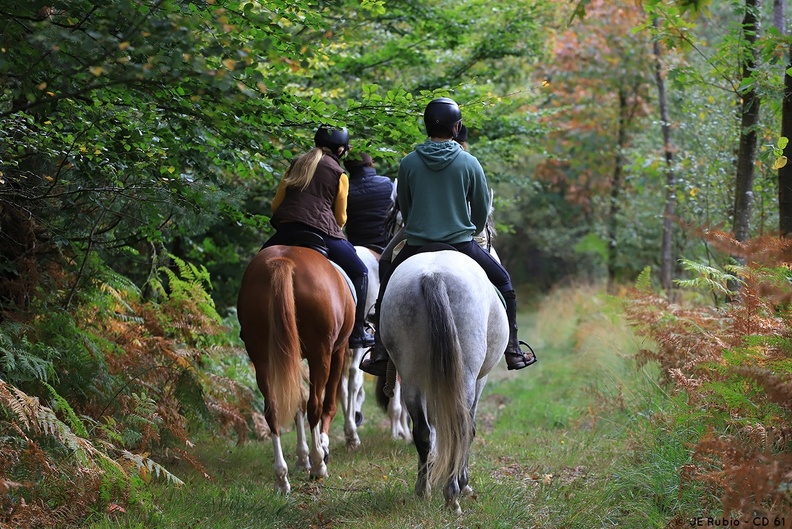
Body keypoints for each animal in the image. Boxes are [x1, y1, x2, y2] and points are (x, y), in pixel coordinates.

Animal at [235, 245, 352, 492]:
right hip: (321, 353)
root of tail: (284, 261)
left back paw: (281, 477)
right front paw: (320, 451)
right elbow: (327, 404)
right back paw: (318, 465)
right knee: (316, 405)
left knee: (273, 409)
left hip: (262, 356)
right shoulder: (338, 350)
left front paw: (302, 457)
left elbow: (297, 401)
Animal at [380, 250, 510, 512]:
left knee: (422, 431)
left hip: (411, 373)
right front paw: (464, 482)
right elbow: (470, 428)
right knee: (459, 428)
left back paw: (423, 489)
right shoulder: (480, 380)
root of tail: (433, 275)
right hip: (466, 377)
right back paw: (453, 494)